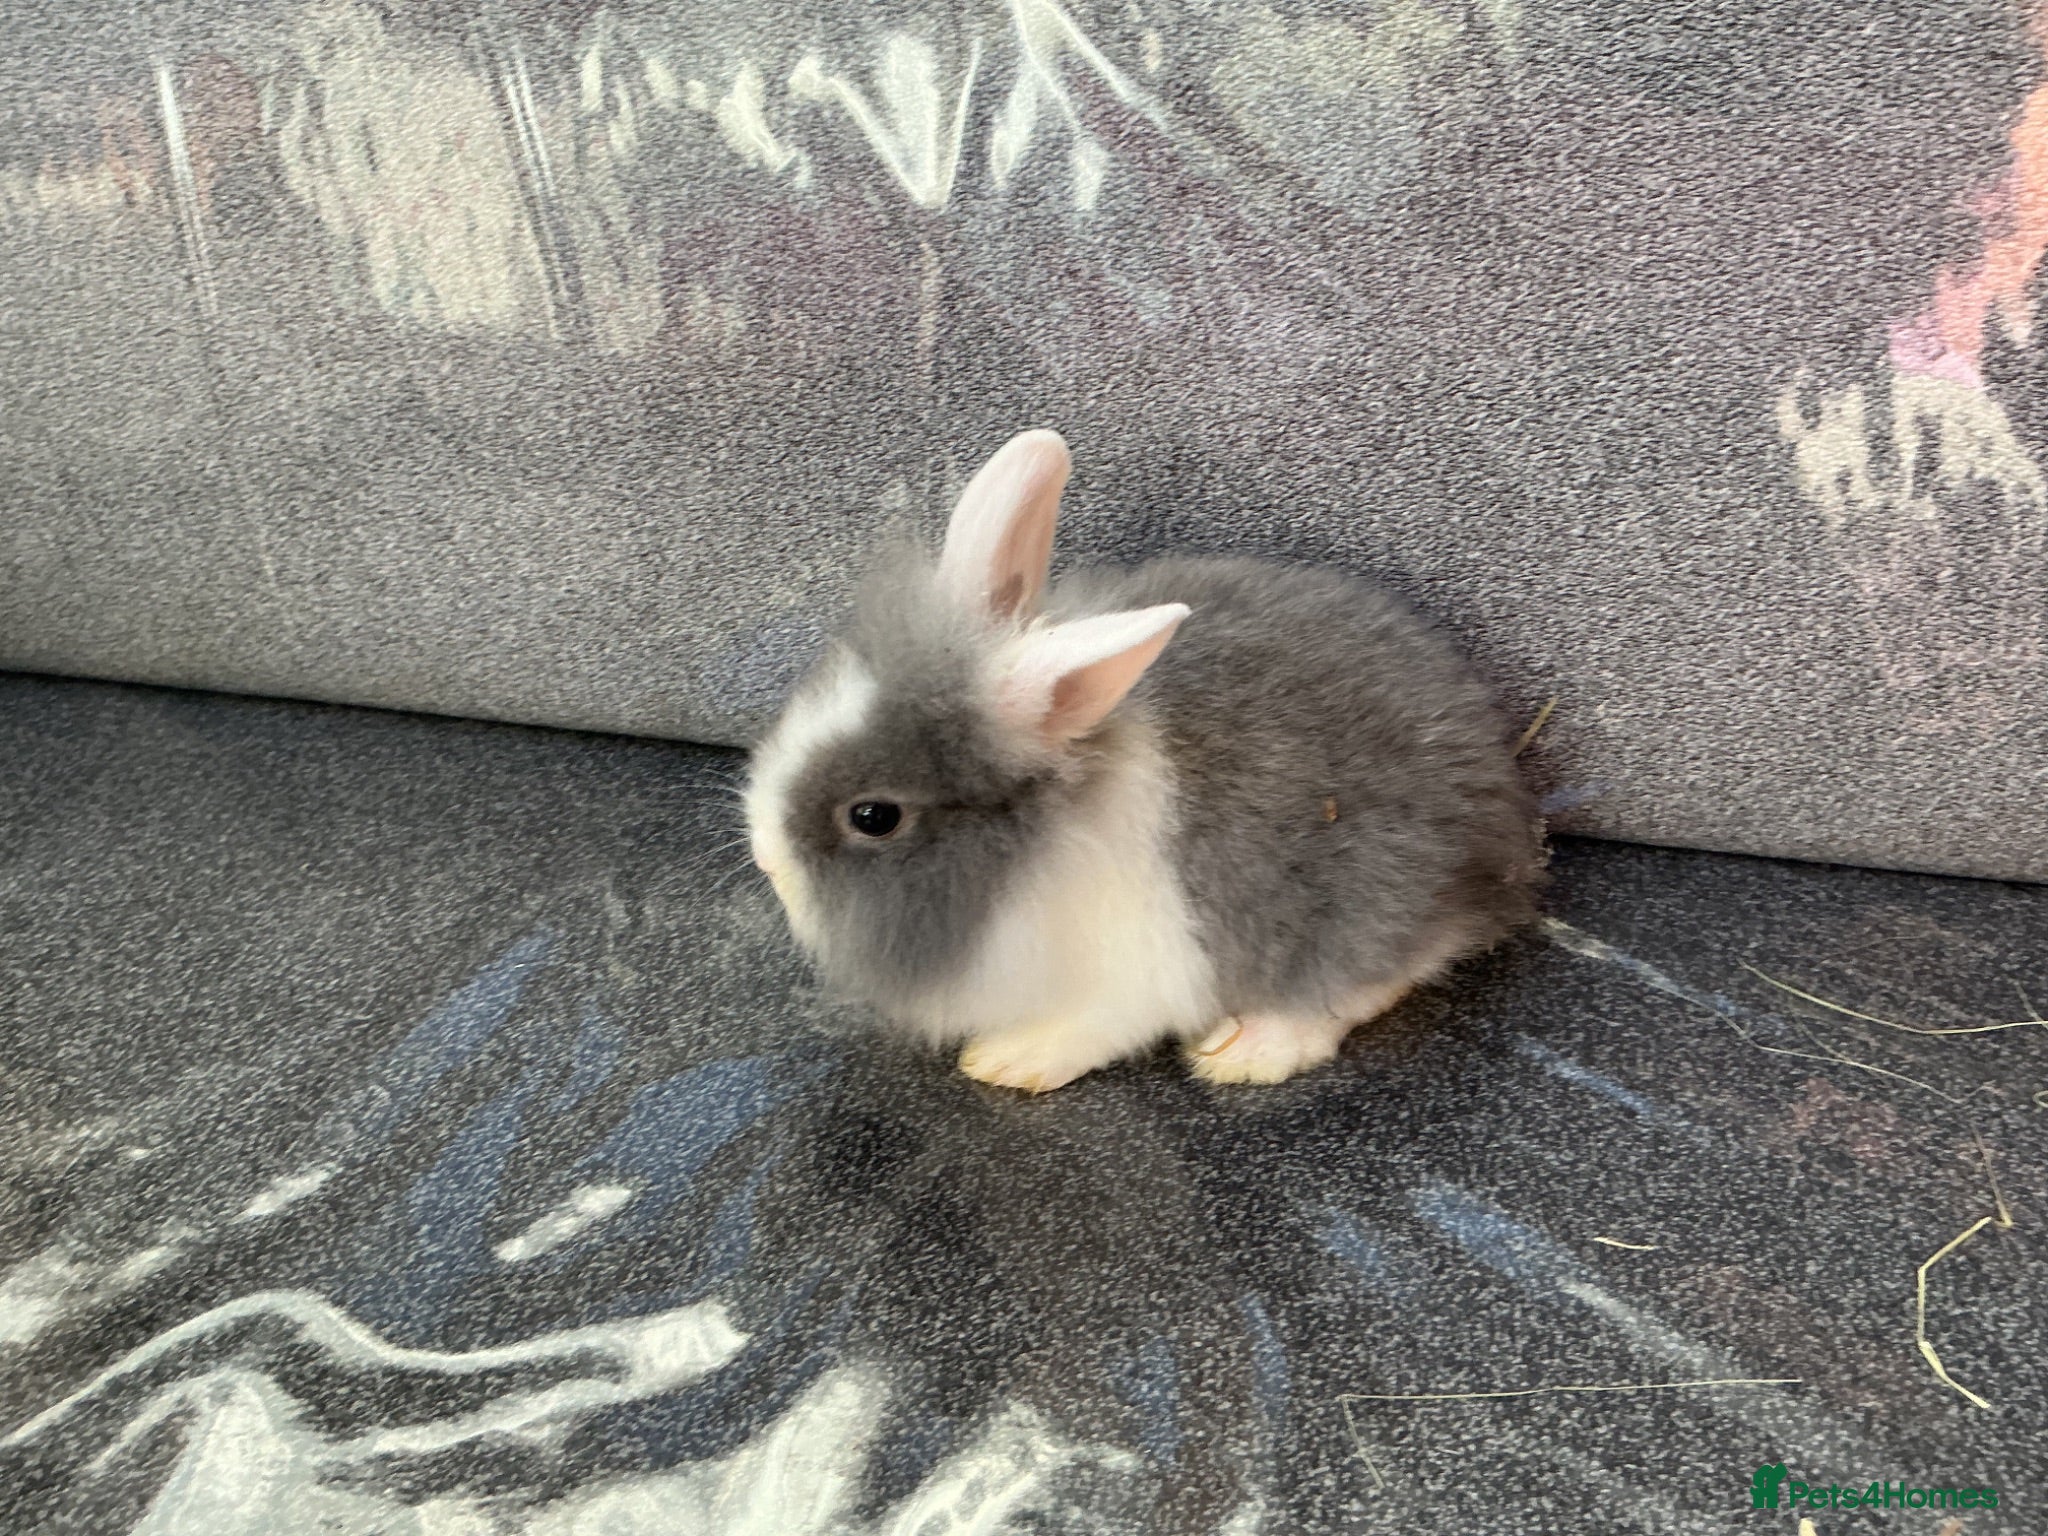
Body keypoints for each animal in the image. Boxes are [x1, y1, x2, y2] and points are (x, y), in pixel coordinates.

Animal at [745, 430, 1545, 1091]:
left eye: (873, 816)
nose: (766, 864)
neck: (1032, 855)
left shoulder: (1133, 981)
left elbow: (1088, 1030)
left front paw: (1008, 1061)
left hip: (1371, 903)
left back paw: (1247, 1048)